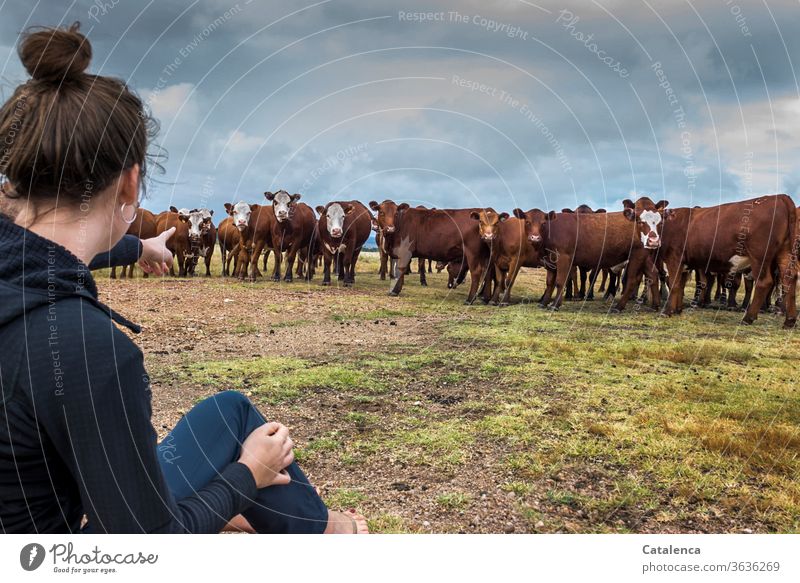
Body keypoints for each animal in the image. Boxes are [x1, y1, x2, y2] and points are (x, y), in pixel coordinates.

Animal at [536, 198, 668, 312]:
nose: (653, 240)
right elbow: (563, 279)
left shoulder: (570, 258)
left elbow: (566, 280)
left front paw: (557, 304)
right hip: (645, 257)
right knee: (653, 274)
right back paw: (655, 305)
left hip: (637, 255)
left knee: (632, 279)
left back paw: (619, 306)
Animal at [652, 194, 796, 326]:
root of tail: (781, 197)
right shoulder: (685, 265)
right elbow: (680, 285)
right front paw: (678, 310)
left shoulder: (674, 258)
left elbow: (674, 284)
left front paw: (667, 311)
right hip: (785, 253)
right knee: (790, 279)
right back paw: (790, 320)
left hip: (759, 257)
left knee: (764, 282)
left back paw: (748, 318)